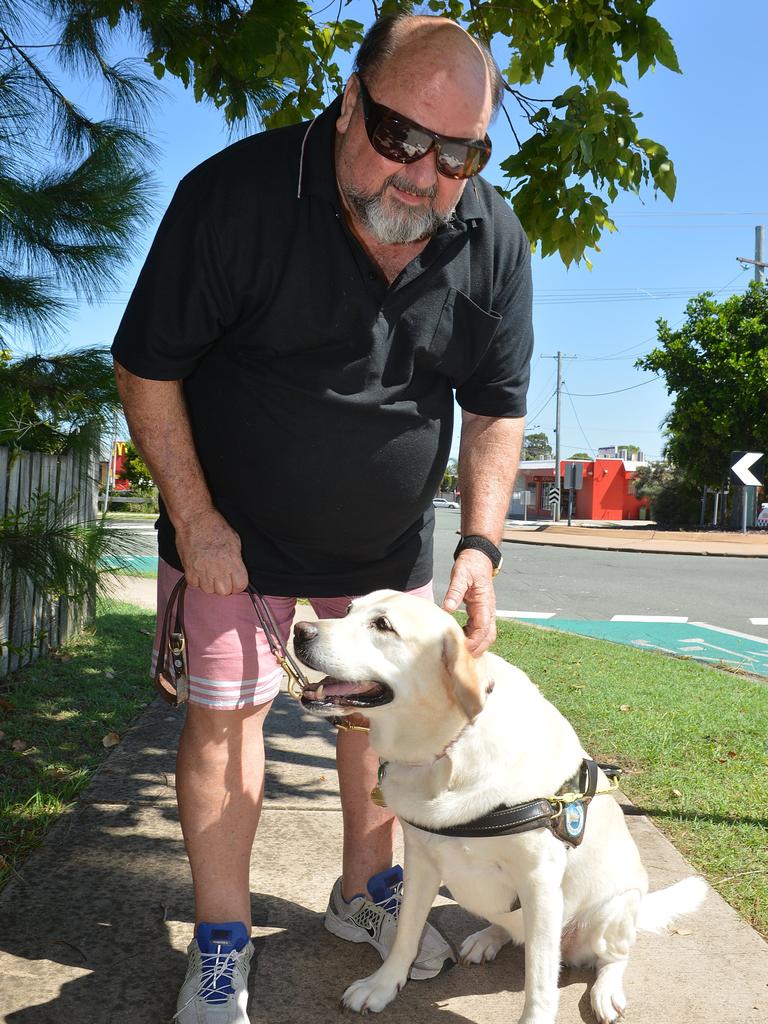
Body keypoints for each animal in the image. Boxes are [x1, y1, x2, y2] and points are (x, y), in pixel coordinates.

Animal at [294, 593, 708, 1024]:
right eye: (347, 610)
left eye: (383, 625)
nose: (299, 631)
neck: (448, 750)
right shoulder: (421, 860)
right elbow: (407, 932)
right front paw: (382, 985)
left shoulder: (539, 881)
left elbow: (540, 977)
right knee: (511, 929)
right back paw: (487, 938)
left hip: (613, 910)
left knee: (612, 958)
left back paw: (606, 992)